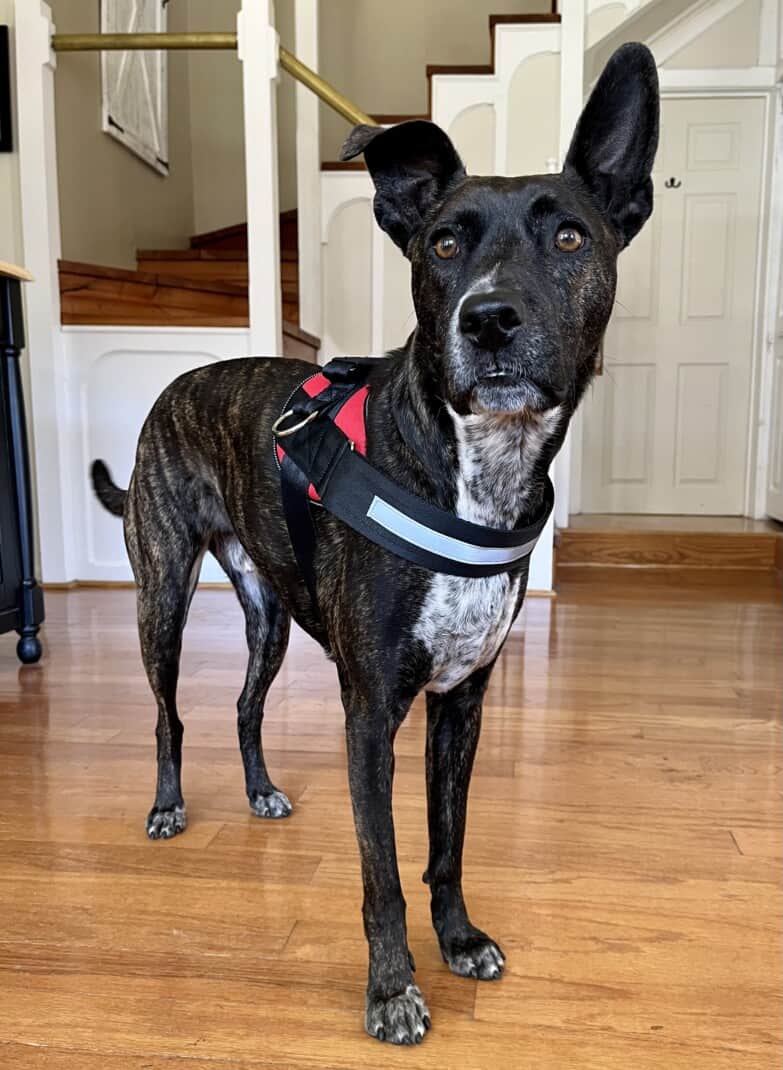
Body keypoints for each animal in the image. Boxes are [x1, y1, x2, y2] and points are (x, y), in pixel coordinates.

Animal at [91, 41, 658, 1044]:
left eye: (569, 240)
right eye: (443, 245)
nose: (489, 319)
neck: (474, 470)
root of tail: (177, 385)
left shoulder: (462, 702)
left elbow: (446, 843)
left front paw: (459, 937)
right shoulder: (371, 716)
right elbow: (382, 871)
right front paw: (392, 988)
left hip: (269, 617)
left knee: (244, 706)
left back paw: (260, 790)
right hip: (161, 596)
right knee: (169, 714)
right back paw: (167, 805)